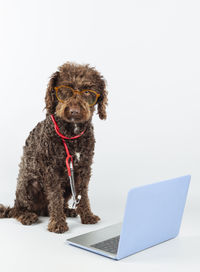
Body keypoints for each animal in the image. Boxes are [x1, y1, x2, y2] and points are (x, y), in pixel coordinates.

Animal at [0, 61, 108, 234]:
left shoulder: (84, 168)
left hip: (69, 185)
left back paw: (68, 210)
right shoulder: (51, 171)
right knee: (18, 209)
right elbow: (55, 197)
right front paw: (58, 223)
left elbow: (83, 195)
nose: (74, 111)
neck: (71, 135)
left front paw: (87, 215)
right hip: (28, 184)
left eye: (87, 91)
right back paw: (27, 215)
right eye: (65, 89)